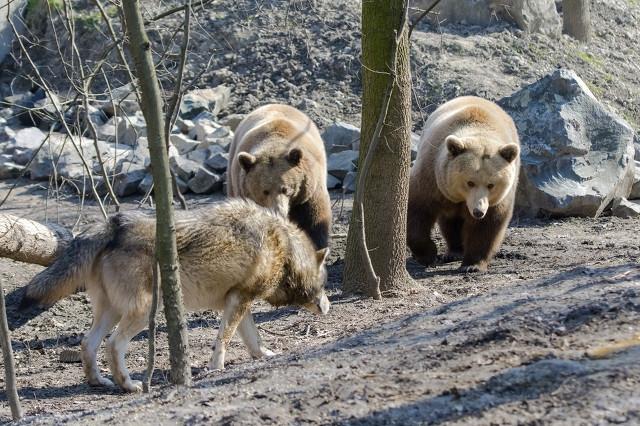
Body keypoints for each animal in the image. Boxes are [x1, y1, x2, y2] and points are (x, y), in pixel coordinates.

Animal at [20, 200, 330, 392]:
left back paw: (99, 382)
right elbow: (224, 339)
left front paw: (264, 355)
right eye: (325, 283)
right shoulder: (238, 300)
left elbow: (252, 339)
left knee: (88, 343)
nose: (328, 306)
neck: (285, 249)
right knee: (113, 345)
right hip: (144, 313)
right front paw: (215, 368)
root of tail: (115, 223)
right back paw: (129, 386)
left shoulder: (238, 300)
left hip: (112, 312)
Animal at [410, 95, 520, 272]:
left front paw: (472, 264)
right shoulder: (432, 177)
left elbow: (487, 225)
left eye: (491, 185)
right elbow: (418, 209)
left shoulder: (498, 199)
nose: (478, 211)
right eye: (470, 182)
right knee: (449, 220)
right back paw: (453, 251)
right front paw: (428, 255)